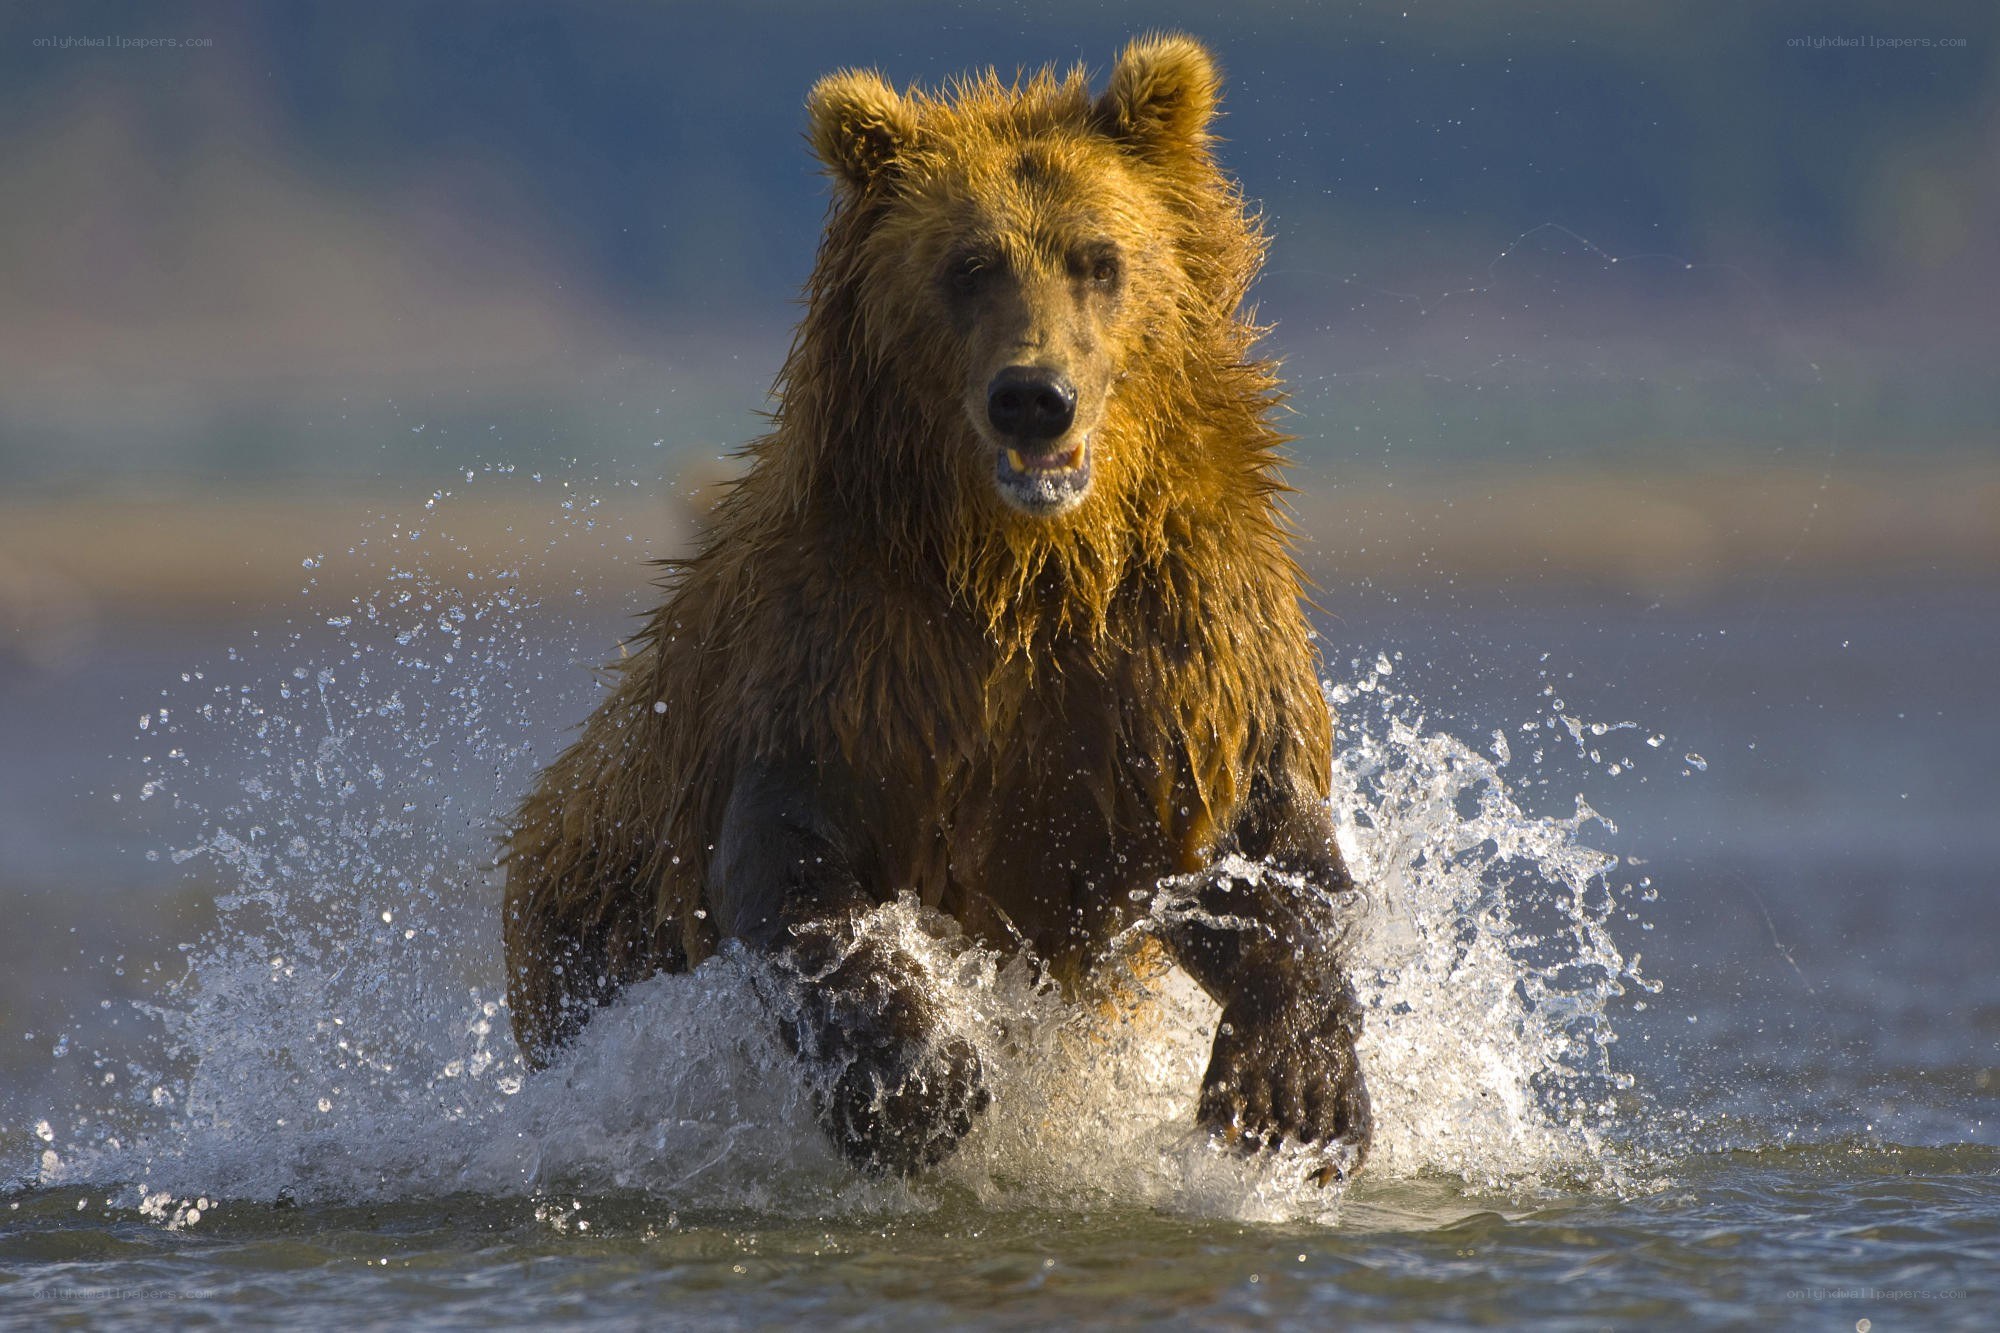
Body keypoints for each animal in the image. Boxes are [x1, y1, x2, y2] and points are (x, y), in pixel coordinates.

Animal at [503, 34, 1372, 1180]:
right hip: (589, 918)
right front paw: (918, 1085)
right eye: (968, 266)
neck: (1028, 567)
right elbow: (791, 867)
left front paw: (1295, 1094)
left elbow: (1258, 848)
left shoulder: (1180, 637)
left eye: (1098, 258)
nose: (1032, 397)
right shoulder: (847, 650)